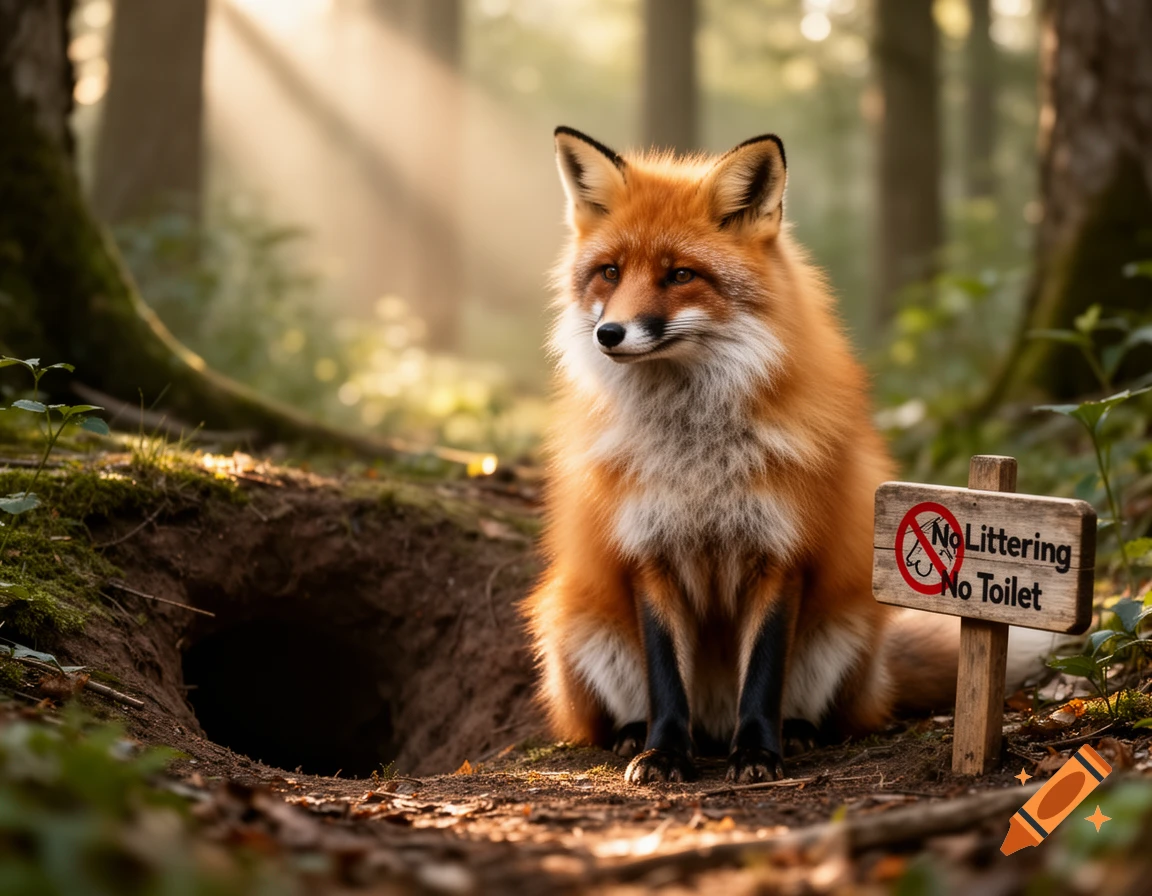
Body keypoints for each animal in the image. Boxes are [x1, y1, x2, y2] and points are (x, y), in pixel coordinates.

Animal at [522, 126, 1058, 786]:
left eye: (680, 275)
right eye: (610, 272)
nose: (610, 334)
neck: (695, 452)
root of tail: (713, 723)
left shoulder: (782, 550)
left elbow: (764, 672)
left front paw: (758, 752)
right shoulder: (649, 553)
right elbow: (666, 679)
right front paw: (664, 752)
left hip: (841, 633)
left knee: (819, 708)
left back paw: (794, 733)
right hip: (577, 623)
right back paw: (634, 734)